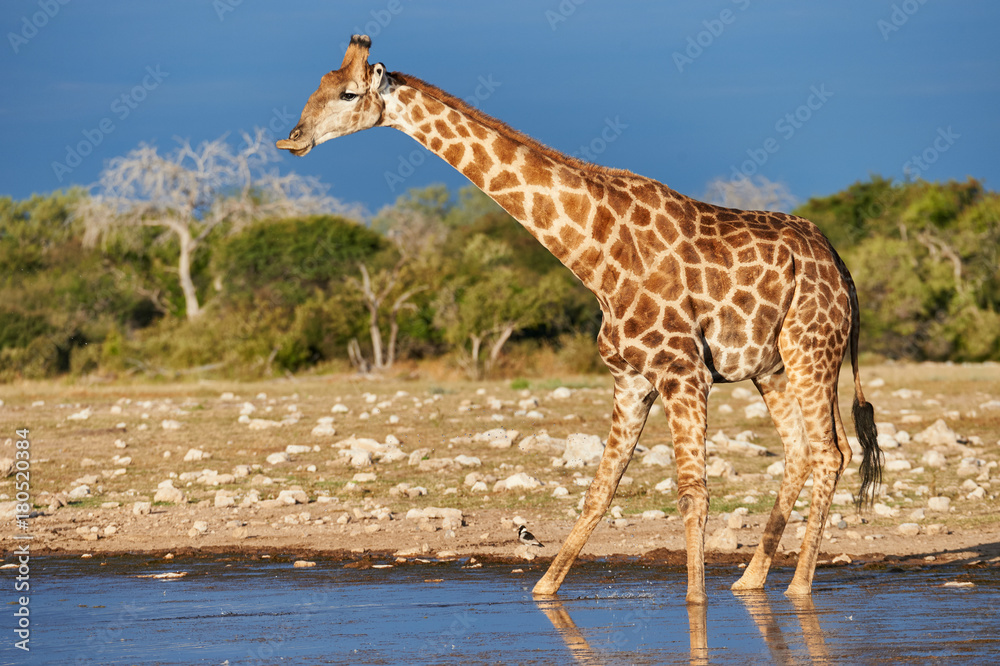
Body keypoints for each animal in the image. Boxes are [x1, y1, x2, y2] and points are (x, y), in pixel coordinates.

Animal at [276, 35, 883, 604]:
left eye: (348, 94)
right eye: (319, 87)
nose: (293, 138)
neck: (596, 256)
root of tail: (841, 266)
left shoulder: (682, 373)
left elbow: (692, 492)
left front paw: (695, 601)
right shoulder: (631, 378)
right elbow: (600, 489)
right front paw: (545, 590)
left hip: (811, 352)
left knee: (831, 452)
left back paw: (798, 587)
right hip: (770, 367)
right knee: (801, 452)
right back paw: (751, 579)